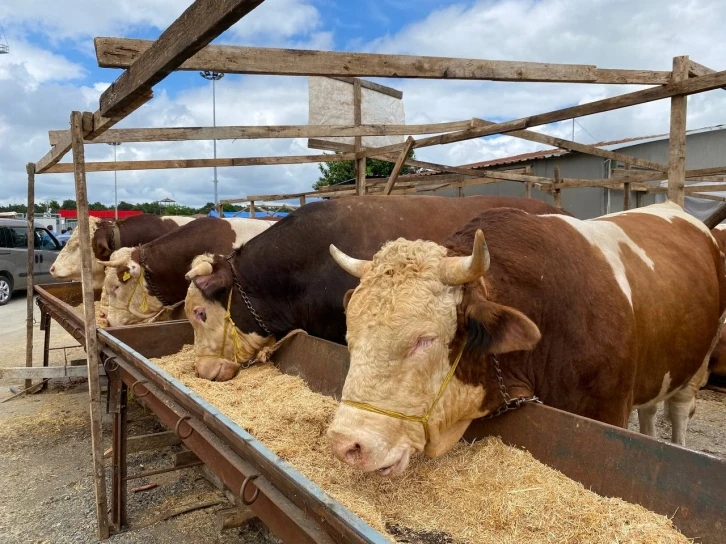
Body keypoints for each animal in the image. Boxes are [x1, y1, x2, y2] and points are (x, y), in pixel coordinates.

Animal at [328, 201, 724, 476]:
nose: (345, 444)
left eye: (424, 340)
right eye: (350, 334)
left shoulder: (609, 410)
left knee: (678, 409)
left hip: (697, 361)